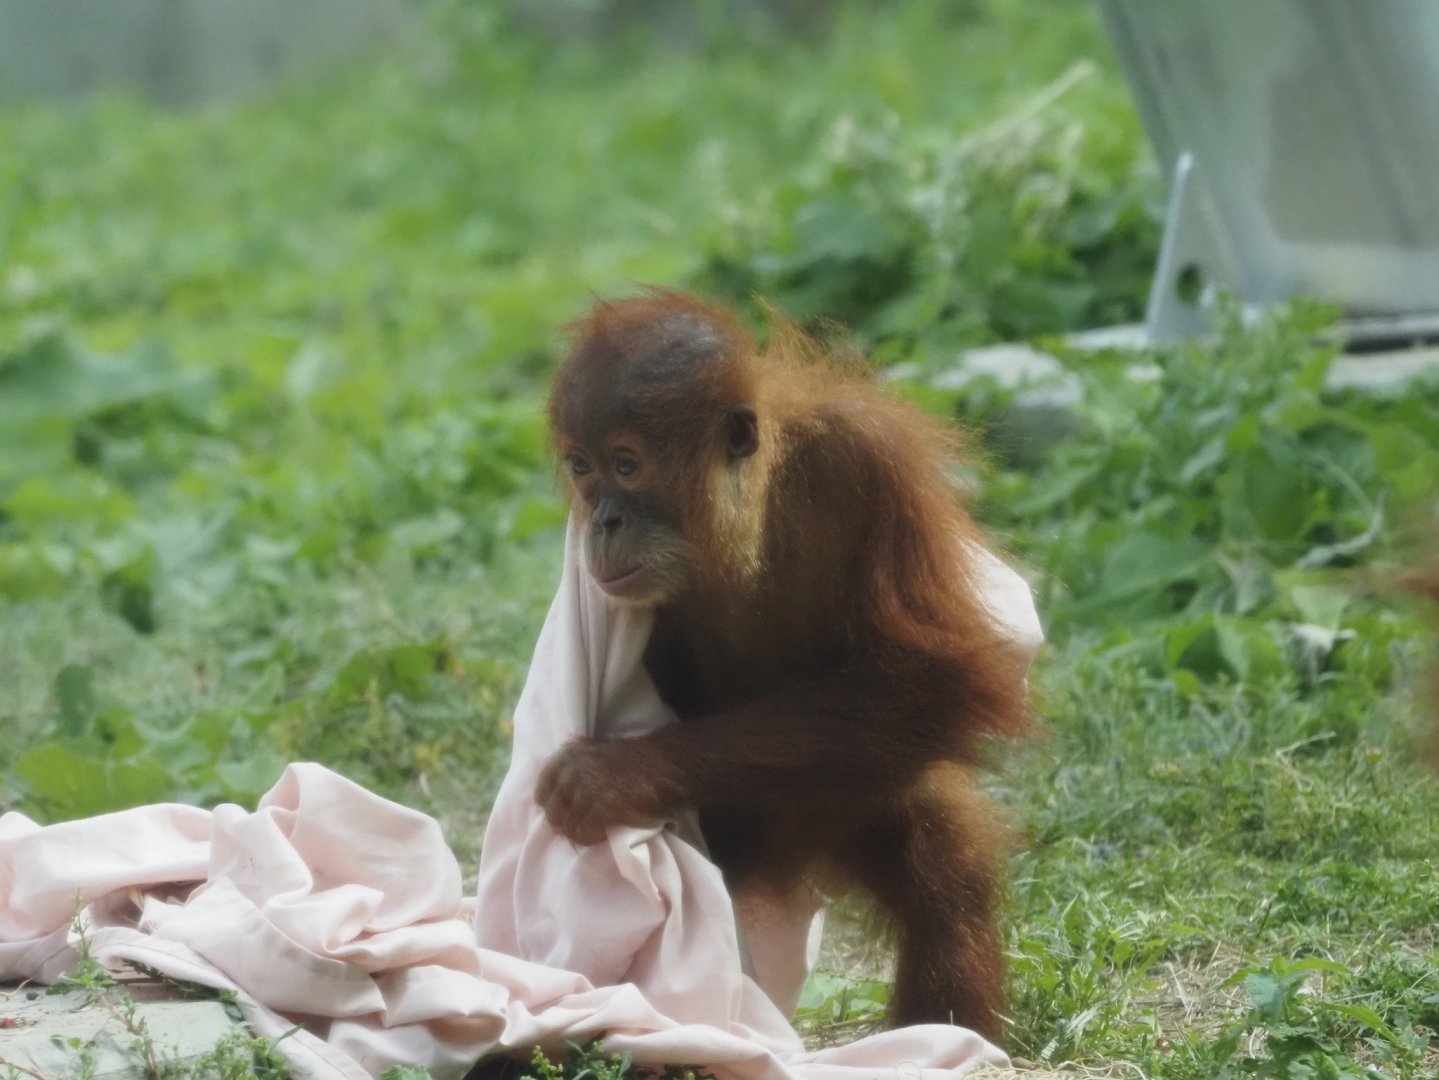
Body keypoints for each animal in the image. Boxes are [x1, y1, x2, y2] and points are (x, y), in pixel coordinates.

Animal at [535, 290, 1031, 1042]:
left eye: (626, 465)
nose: (604, 521)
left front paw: (616, 775)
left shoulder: (872, 459)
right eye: (583, 468)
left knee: (943, 864)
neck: (753, 508)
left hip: (853, 797)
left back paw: (946, 1034)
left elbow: (933, 681)